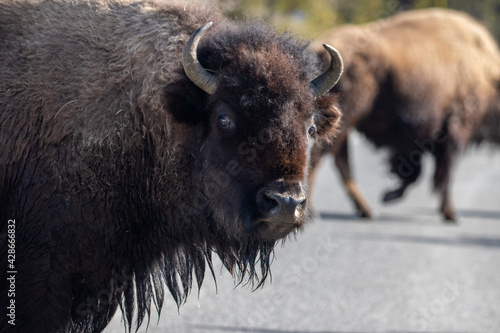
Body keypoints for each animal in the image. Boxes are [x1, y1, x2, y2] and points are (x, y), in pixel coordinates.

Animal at [310, 8, 500, 220]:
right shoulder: (455, 130)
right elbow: (443, 171)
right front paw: (451, 213)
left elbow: (415, 173)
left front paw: (389, 195)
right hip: (346, 118)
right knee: (321, 157)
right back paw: (314, 211)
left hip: (344, 124)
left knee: (341, 162)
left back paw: (368, 210)